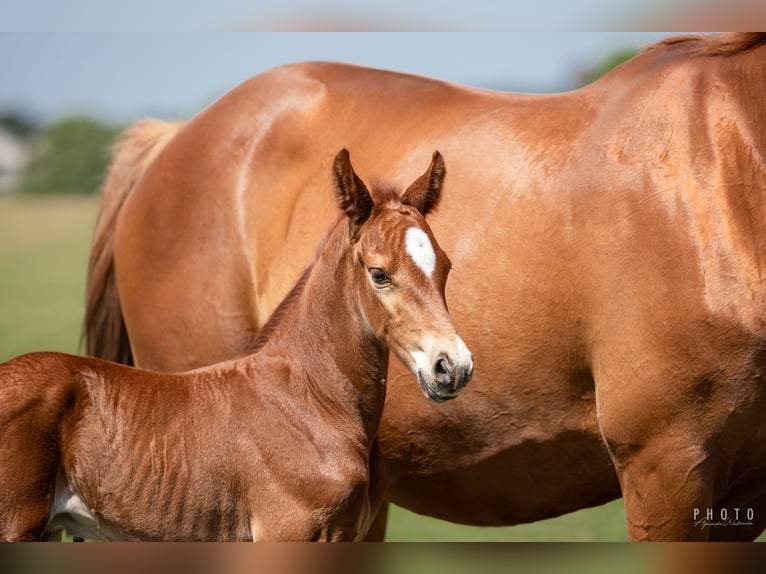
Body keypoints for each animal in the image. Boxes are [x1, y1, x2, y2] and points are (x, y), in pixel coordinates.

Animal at [87, 33, 766, 544]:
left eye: (447, 268)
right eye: (378, 273)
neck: (720, 175)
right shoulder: (663, 464)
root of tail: (173, 140)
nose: (452, 366)